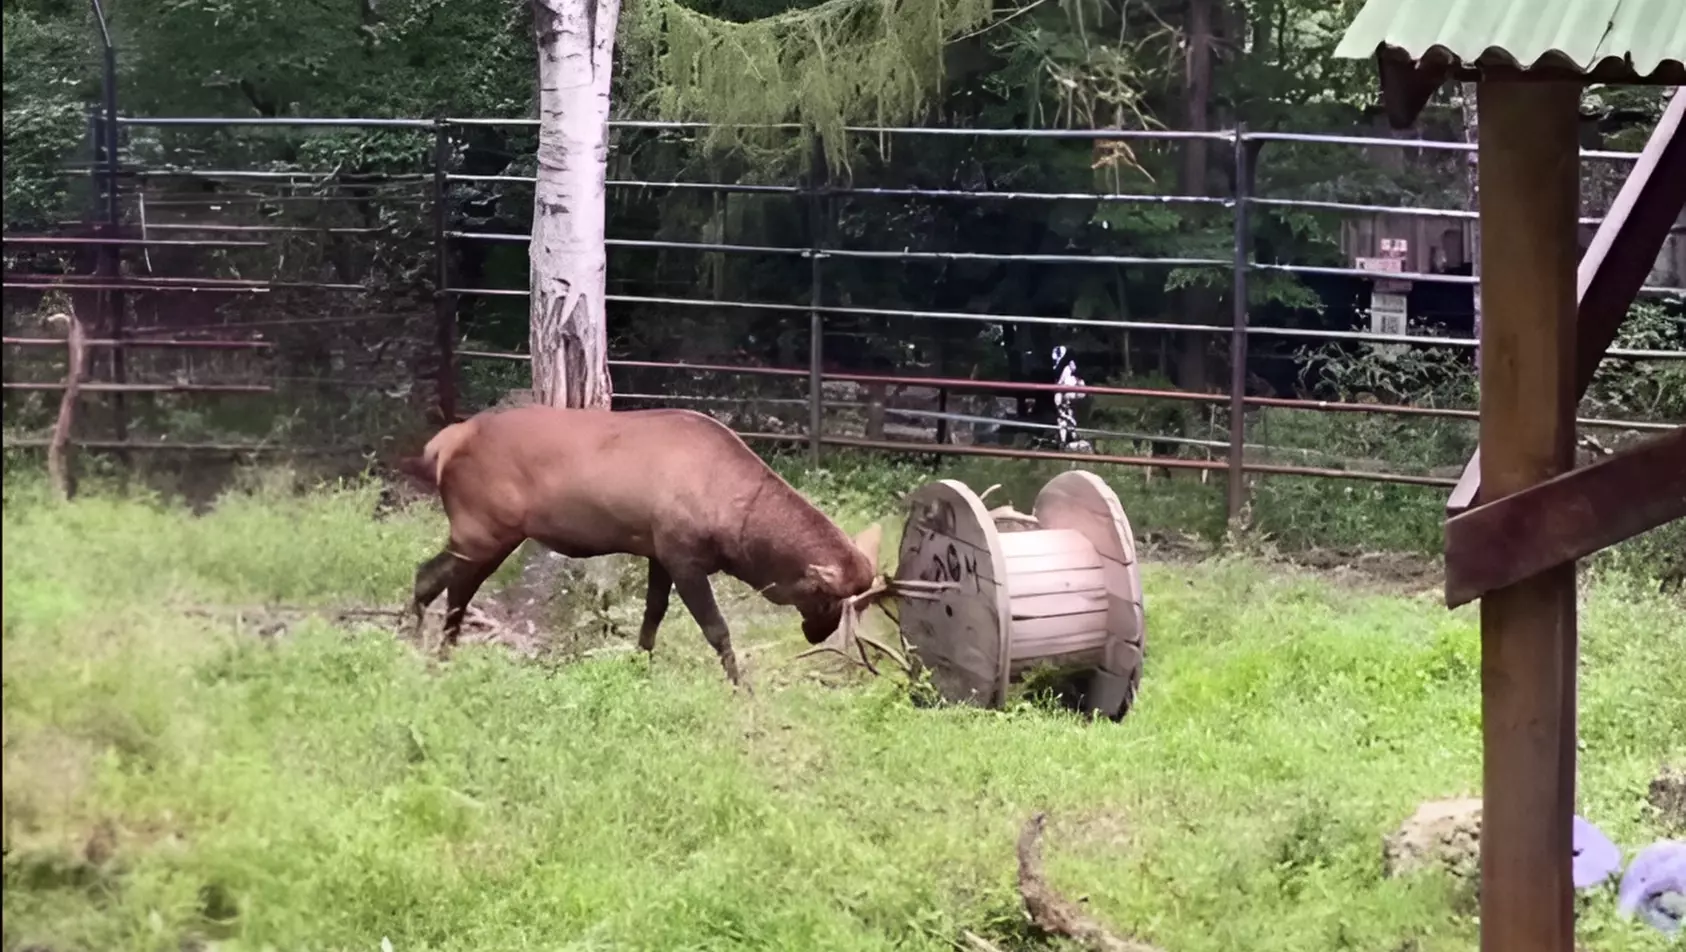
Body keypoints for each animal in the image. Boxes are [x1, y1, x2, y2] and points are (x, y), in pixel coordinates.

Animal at [396, 404, 910, 680]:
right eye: (825, 598)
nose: (818, 635)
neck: (736, 523)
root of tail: (443, 443)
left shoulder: (657, 552)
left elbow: (652, 617)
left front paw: (640, 664)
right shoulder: (684, 557)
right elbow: (717, 629)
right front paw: (739, 684)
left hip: (482, 535)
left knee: (429, 576)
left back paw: (415, 639)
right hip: (485, 530)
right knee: (454, 588)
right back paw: (436, 650)